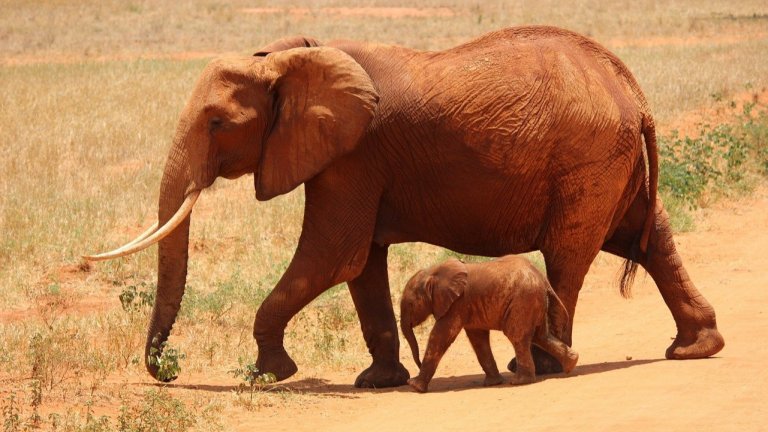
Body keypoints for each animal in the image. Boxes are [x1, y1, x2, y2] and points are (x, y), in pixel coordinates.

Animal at [402, 255, 576, 394]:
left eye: (410, 304)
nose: (417, 364)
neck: (433, 272)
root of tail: (543, 280)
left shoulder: (457, 304)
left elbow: (440, 336)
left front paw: (414, 386)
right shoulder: (468, 307)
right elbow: (478, 340)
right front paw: (493, 383)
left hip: (523, 301)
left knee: (518, 337)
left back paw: (519, 382)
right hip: (534, 301)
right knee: (541, 336)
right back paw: (571, 364)